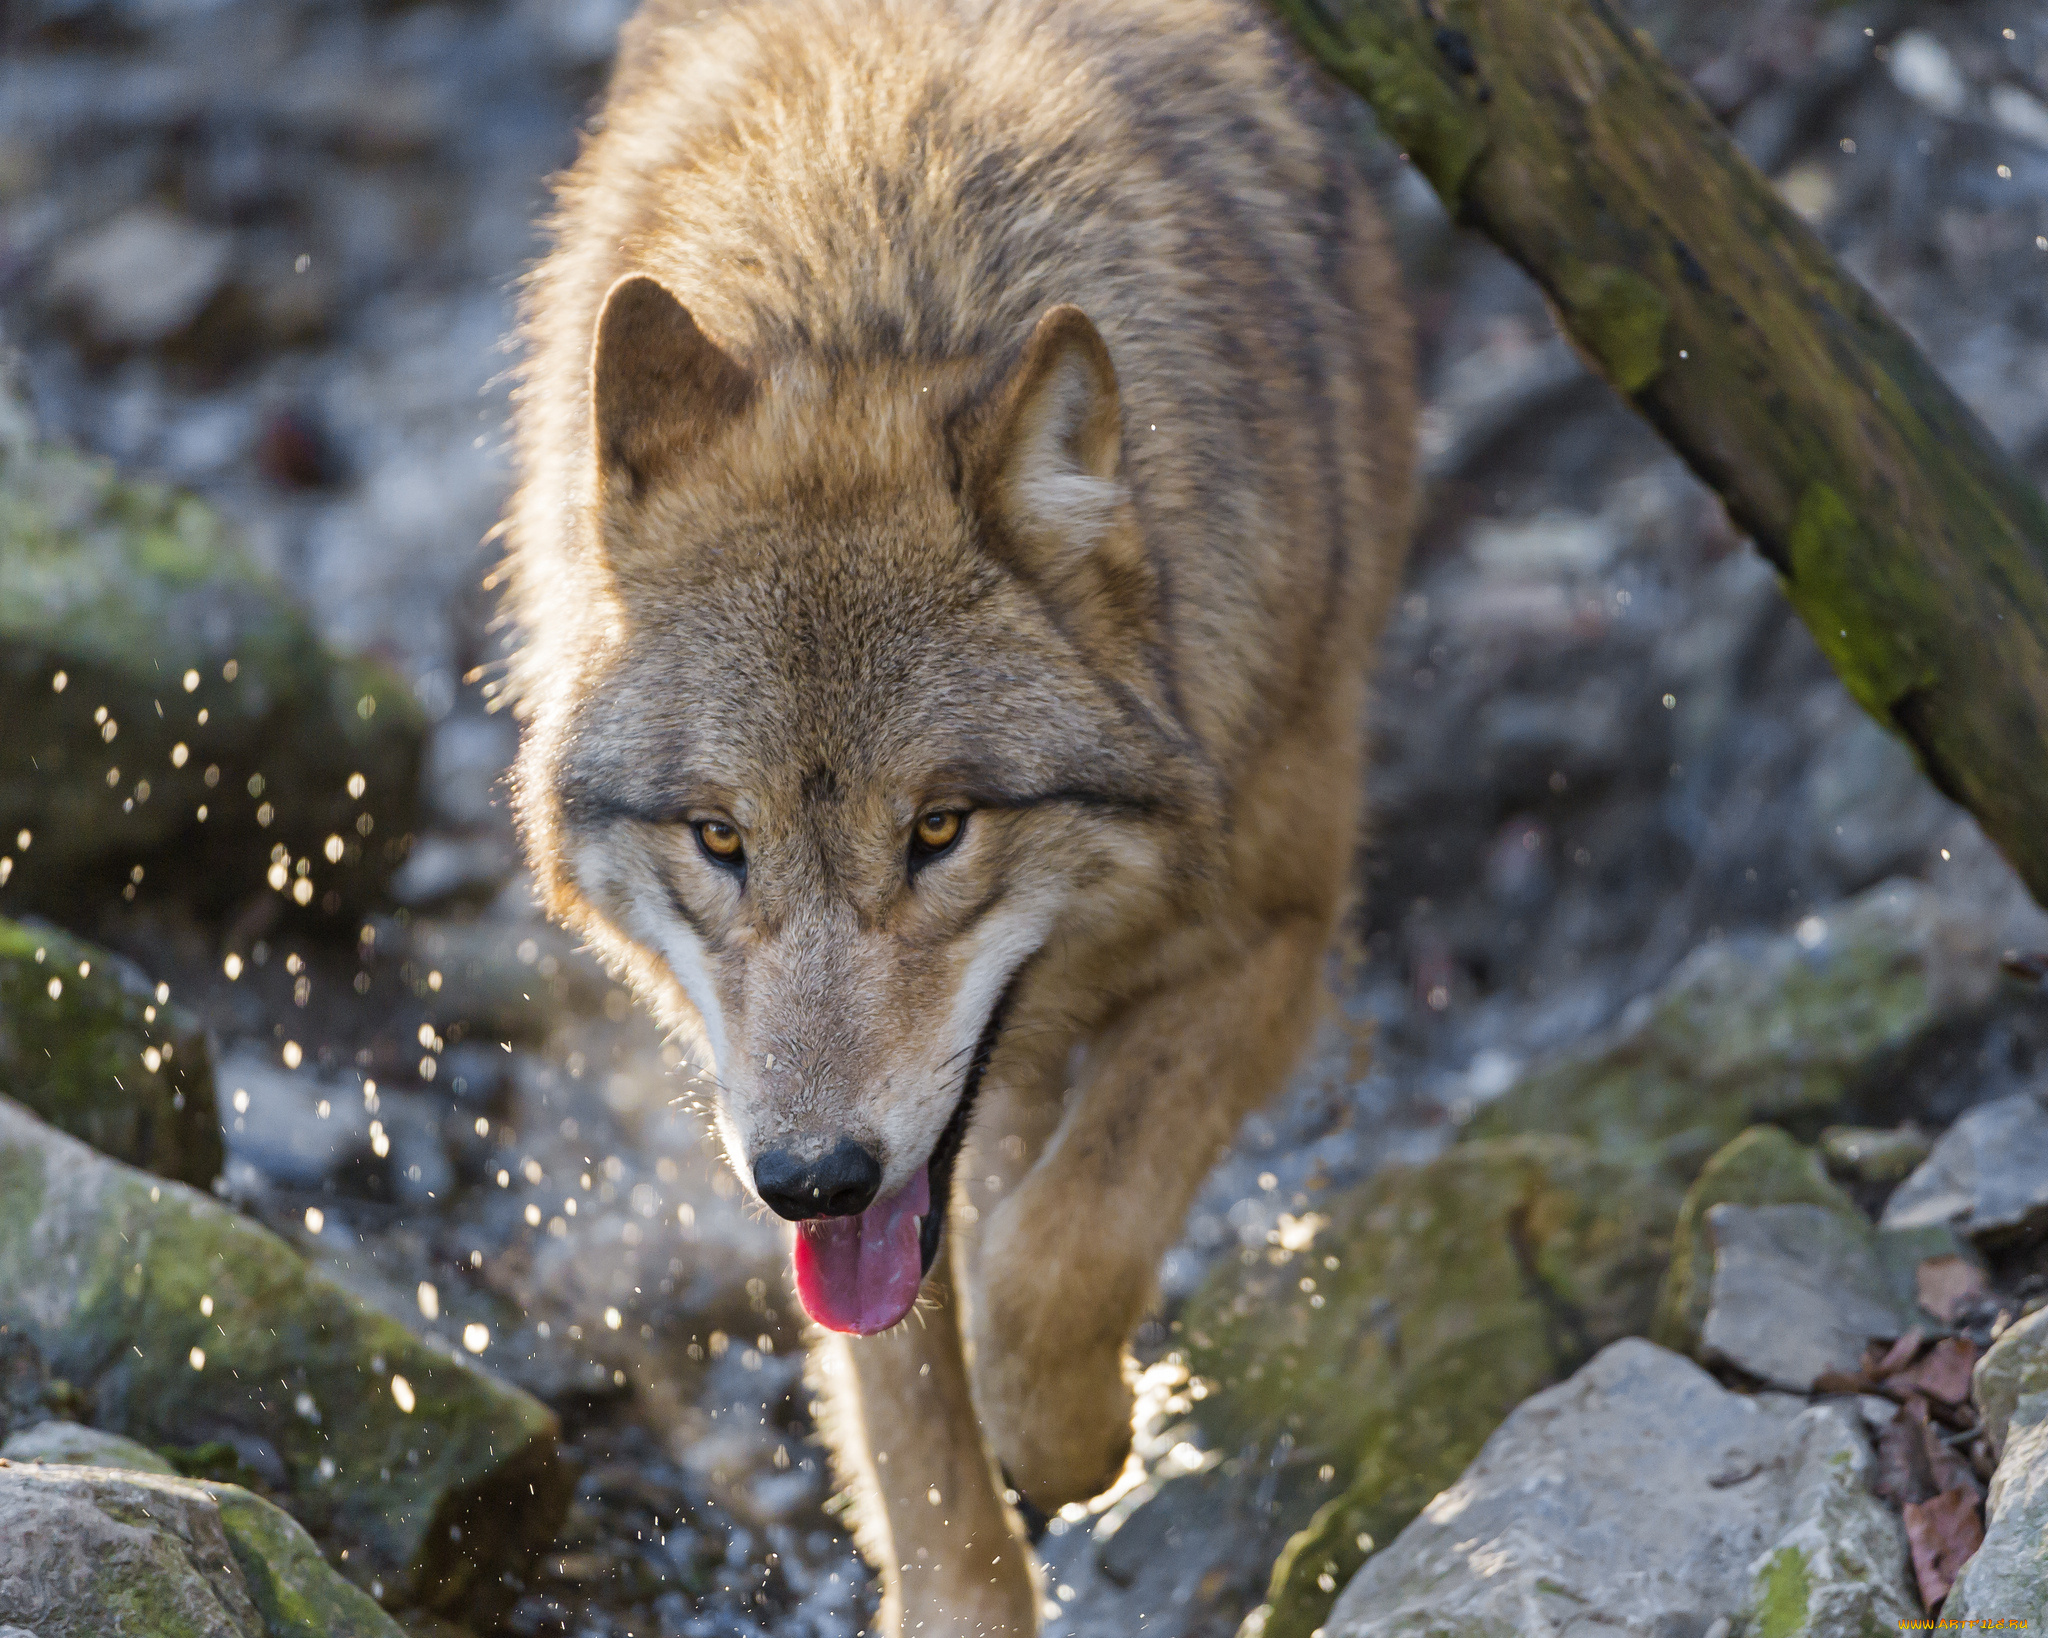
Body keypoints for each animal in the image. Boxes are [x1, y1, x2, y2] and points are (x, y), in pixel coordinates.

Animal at [503, 3, 1417, 1621]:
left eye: (939, 829)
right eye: (720, 838)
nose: (808, 1178)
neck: (877, 295)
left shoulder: (1277, 936)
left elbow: (1061, 1251)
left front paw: (1079, 1433)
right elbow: (911, 1413)